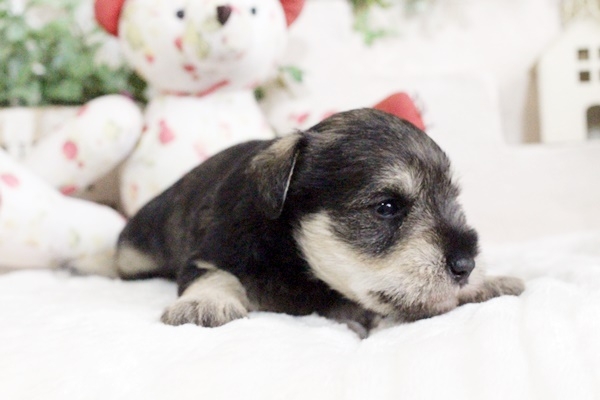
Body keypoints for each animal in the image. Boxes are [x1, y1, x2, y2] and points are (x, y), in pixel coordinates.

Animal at [115, 108, 524, 336]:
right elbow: (215, 275)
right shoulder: (207, 255)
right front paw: (205, 304)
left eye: (451, 200)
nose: (465, 264)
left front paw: (487, 281)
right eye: (387, 207)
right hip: (133, 253)